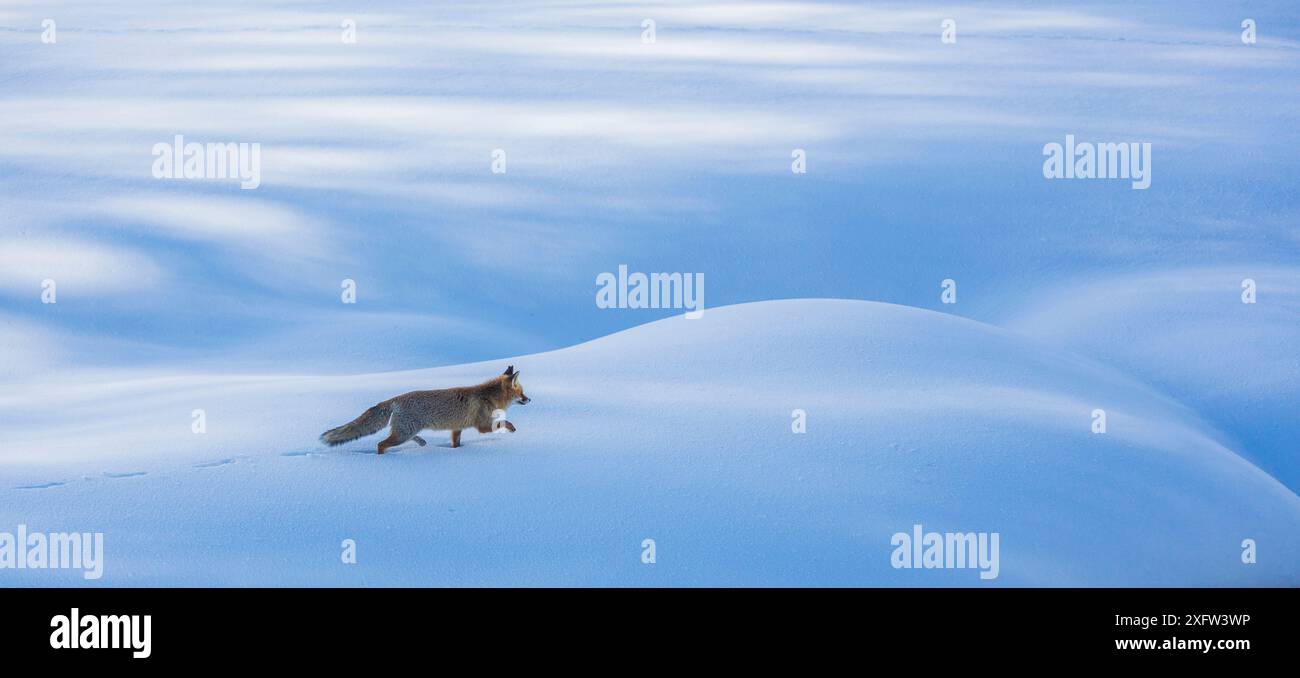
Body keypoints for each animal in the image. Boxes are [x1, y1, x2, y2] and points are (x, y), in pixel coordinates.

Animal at [322, 363, 530, 454]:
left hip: (407, 430)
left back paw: (422, 443)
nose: (529, 399)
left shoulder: (457, 428)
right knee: (381, 444)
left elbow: (456, 443)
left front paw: (456, 453)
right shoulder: (482, 425)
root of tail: (395, 399)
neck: (488, 396)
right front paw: (512, 428)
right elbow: (503, 422)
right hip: (403, 434)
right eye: (522, 392)